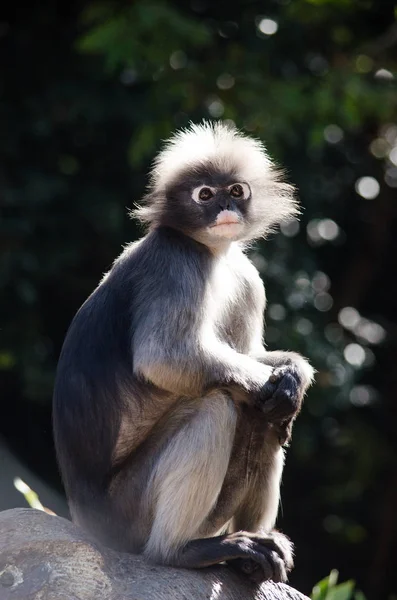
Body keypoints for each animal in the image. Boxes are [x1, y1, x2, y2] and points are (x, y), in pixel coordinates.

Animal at [52, 119, 314, 584]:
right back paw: (182, 552)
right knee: (217, 404)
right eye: (204, 195)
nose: (225, 207)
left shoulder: (247, 277)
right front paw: (279, 383)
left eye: (236, 191)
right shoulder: (175, 261)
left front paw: (294, 375)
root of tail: (86, 523)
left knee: (262, 418)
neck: (213, 252)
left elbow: (249, 354)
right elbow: (164, 357)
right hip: (128, 512)